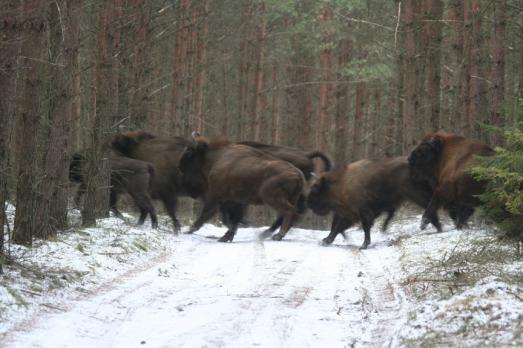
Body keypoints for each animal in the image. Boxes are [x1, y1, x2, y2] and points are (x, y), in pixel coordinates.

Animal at [180, 136, 308, 242]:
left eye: (189, 153)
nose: (180, 166)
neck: (218, 158)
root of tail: (298, 174)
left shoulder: (216, 196)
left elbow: (207, 214)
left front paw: (189, 230)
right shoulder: (235, 201)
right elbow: (233, 218)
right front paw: (227, 236)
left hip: (271, 197)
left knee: (288, 212)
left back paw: (278, 236)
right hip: (289, 198)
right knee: (289, 215)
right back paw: (266, 235)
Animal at [308, 156, 442, 249]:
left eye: (315, 189)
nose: (309, 204)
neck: (341, 183)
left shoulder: (359, 212)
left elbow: (354, 227)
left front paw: (363, 245)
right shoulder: (351, 214)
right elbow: (338, 228)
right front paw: (326, 240)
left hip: (416, 195)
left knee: (429, 207)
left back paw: (436, 228)